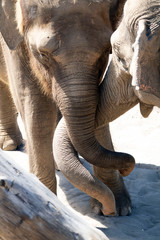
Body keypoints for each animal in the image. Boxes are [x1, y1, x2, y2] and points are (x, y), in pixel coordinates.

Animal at [0, 0, 135, 204]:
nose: (127, 168)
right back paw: (10, 145)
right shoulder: (14, 41)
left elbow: (102, 103)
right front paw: (48, 202)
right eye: (43, 54)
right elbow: (36, 106)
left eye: (107, 51)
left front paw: (120, 206)